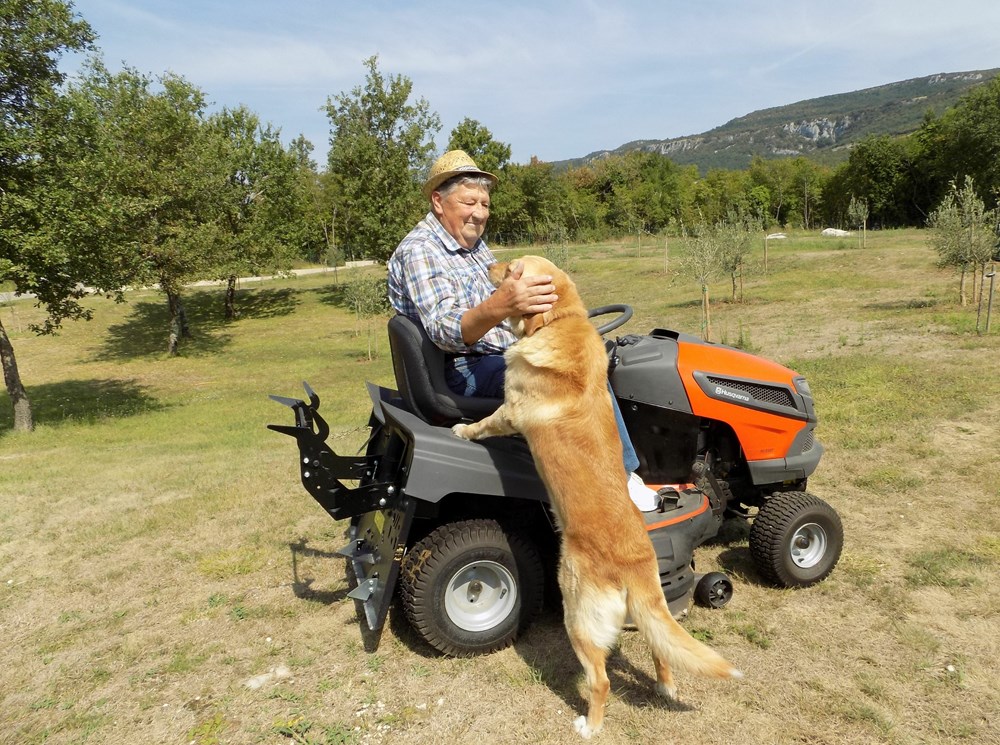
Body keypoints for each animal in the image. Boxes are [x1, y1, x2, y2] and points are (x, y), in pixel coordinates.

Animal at [454, 256, 744, 740]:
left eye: (511, 270)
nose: (488, 262)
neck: (561, 321)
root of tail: (635, 564)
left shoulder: (510, 411)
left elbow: (484, 424)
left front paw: (461, 429)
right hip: (650, 611)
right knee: (661, 649)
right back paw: (665, 687)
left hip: (577, 615)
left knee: (602, 680)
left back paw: (589, 726)